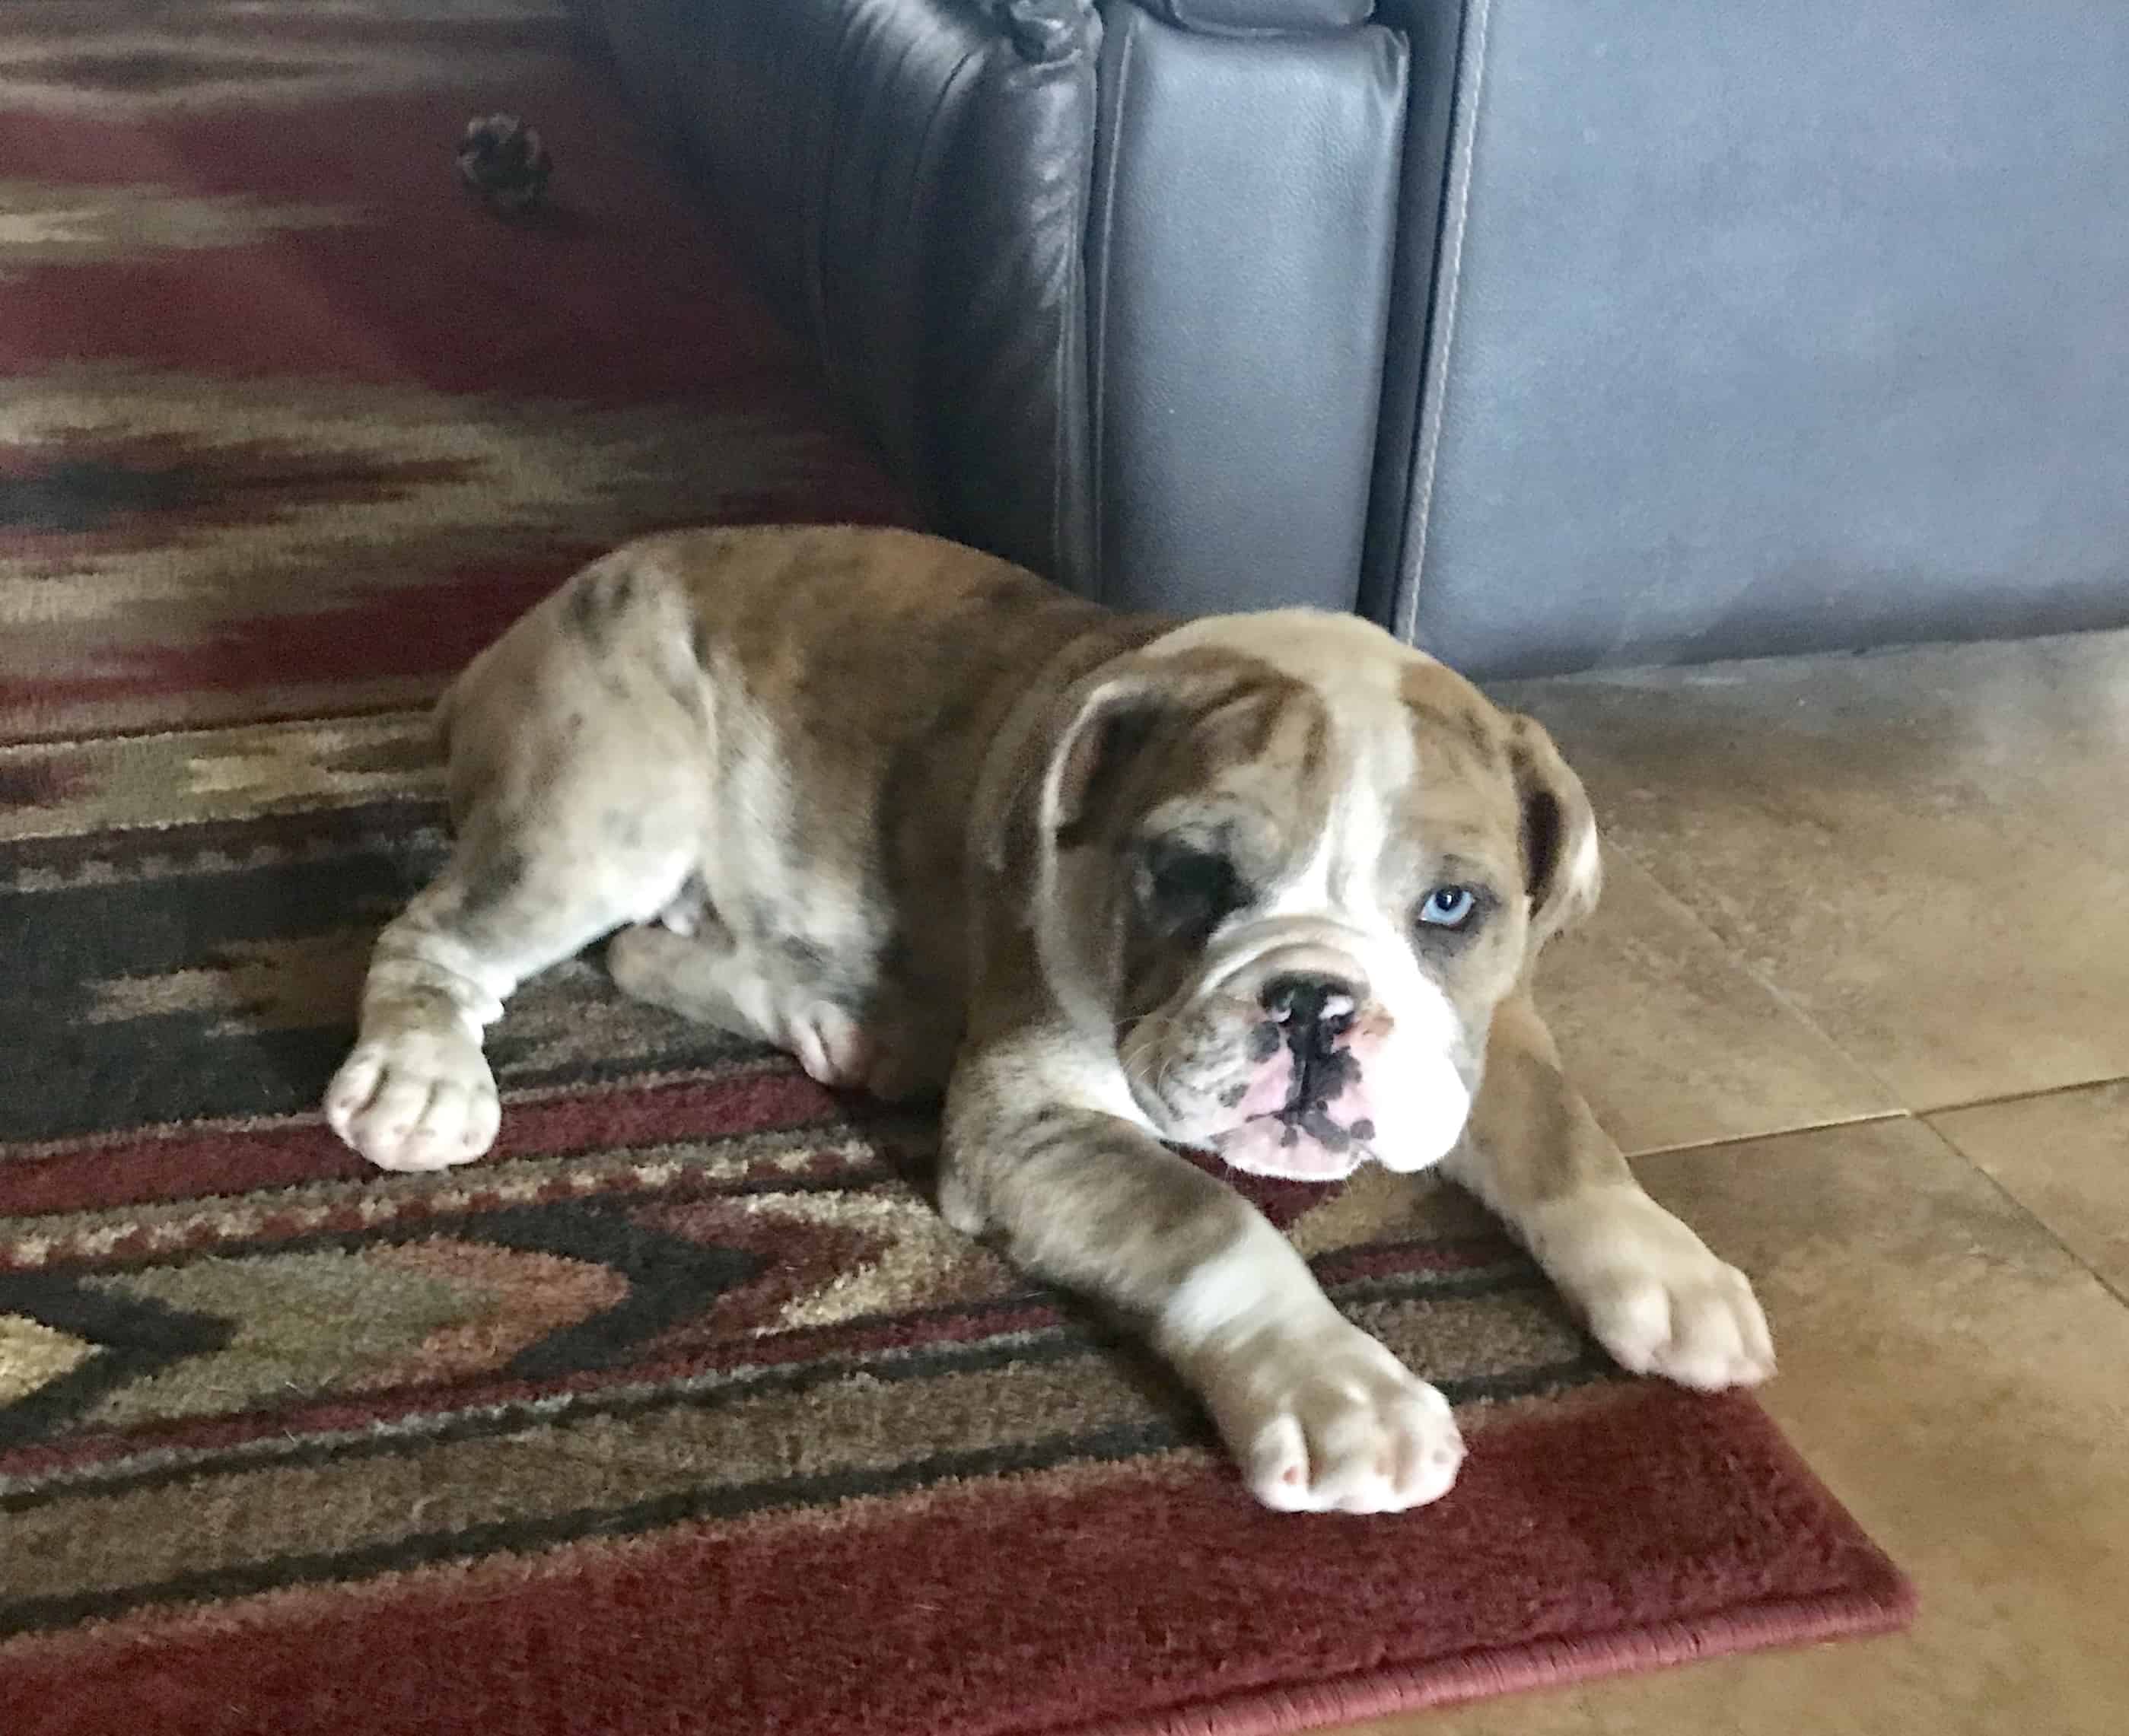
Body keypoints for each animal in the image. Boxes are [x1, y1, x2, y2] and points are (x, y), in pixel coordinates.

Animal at [325, 525, 1773, 1515]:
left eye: (1453, 904)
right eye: (1188, 874)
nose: (1314, 1001)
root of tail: (525, 629)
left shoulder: (1485, 1026)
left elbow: (1557, 1129)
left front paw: (1666, 1268)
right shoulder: (1027, 1121)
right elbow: (1207, 1217)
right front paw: (1336, 1389)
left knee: (646, 951)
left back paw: (848, 1021)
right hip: (608, 805)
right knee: (451, 938)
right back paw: (421, 1080)